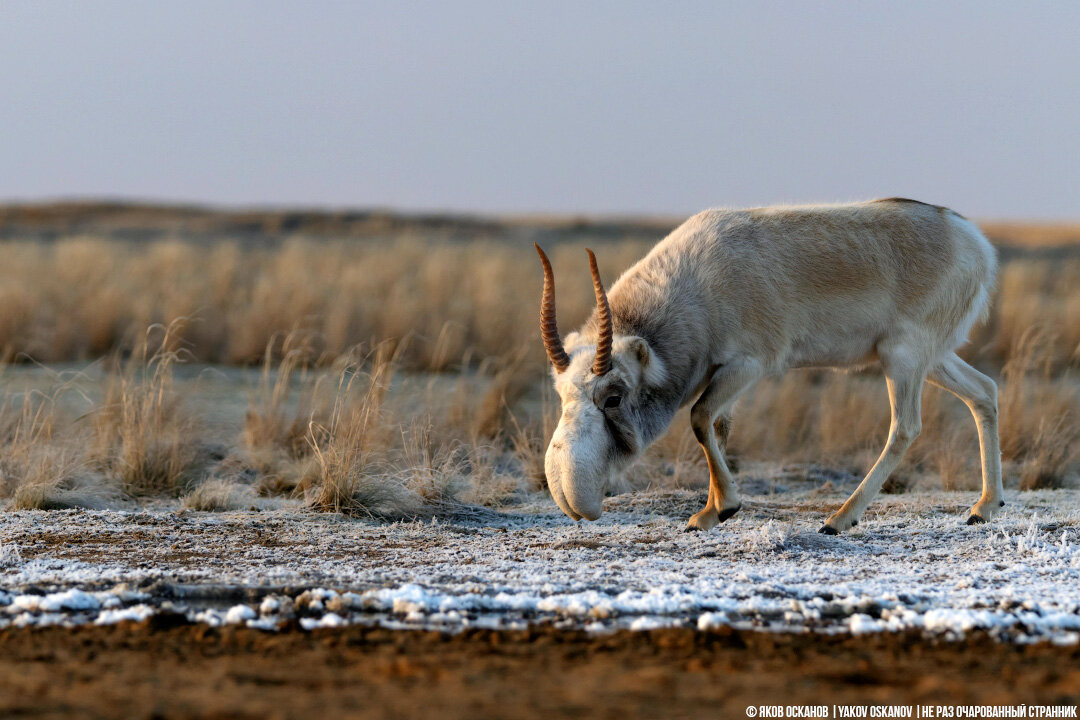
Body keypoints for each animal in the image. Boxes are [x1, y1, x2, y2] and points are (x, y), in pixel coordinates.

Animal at [535, 199, 997, 533]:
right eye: (561, 394)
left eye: (613, 396)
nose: (570, 494)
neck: (695, 287)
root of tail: (975, 241)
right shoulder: (722, 373)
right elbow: (719, 426)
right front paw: (709, 512)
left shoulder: (748, 365)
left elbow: (700, 417)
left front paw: (724, 508)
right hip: (931, 359)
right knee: (984, 392)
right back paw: (984, 507)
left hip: (903, 358)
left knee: (905, 427)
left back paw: (839, 519)